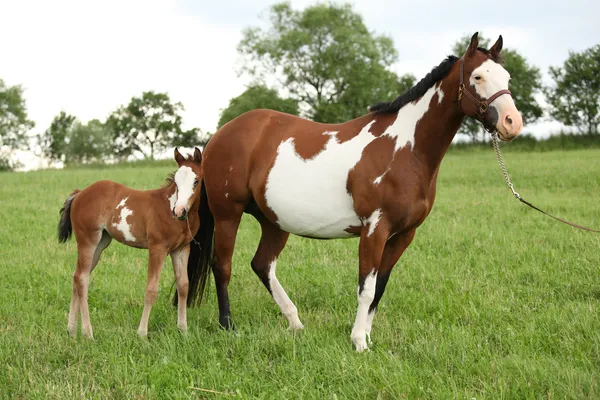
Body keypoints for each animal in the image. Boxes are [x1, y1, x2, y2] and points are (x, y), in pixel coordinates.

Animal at [58, 147, 204, 338]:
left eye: (196, 181)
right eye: (177, 183)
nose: (179, 211)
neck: (169, 207)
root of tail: (79, 194)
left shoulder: (181, 249)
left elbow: (184, 286)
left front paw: (184, 331)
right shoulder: (157, 248)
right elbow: (151, 289)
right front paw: (142, 333)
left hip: (101, 243)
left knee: (77, 276)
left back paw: (72, 330)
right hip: (87, 240)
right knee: (82, 279)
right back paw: (88, 333)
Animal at [186, 32, 520, 352]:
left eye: (506, 77)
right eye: (477, 76)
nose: (512, 123)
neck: (404, 148)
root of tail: (220, 134)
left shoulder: (403, 235)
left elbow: (380, 287)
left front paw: (368, 337)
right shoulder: (375, 229)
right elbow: (366, 288)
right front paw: (358, 341)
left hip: (274, 221)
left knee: (262, 265)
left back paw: (294, 322)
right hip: (227, 215)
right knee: (222, 266)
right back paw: (228, 326)